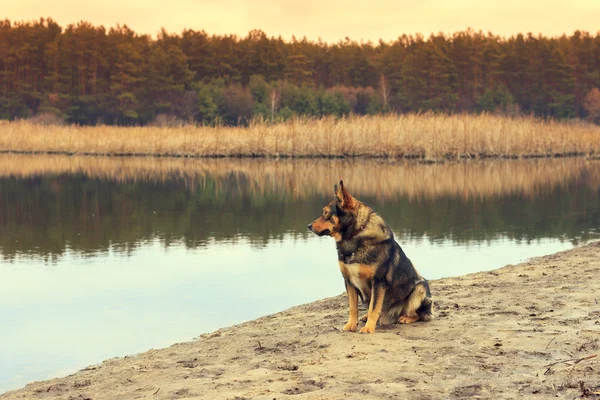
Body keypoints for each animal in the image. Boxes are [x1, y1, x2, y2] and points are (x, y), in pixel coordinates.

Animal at [310, 180, 432, 332]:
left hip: (420, 288)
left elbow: (374, 308)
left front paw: (368, 328)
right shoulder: (349, 281)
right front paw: (351, 325)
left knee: (419, 314)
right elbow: (353, 308)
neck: (355, 235)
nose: (308, 226)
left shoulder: (378, 282)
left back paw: (405, 318)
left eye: (325, 213)